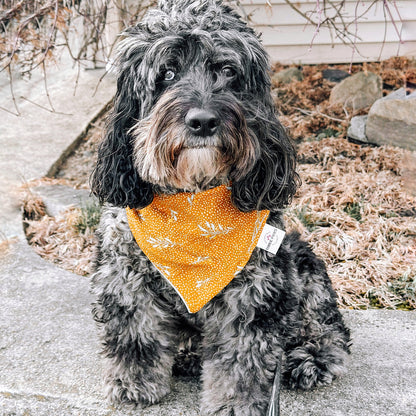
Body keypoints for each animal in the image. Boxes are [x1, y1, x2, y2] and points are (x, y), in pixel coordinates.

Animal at [89, 1, 350, 414]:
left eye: (228, 71)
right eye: (166, 73)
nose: (203, 121)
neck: (194, 203)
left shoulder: (255, 289)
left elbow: (241, 357)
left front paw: (232, 403)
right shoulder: (124, 275)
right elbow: (134, 333)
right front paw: (134, 383)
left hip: (300, 260)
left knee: (325, 323)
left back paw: (311, 357)